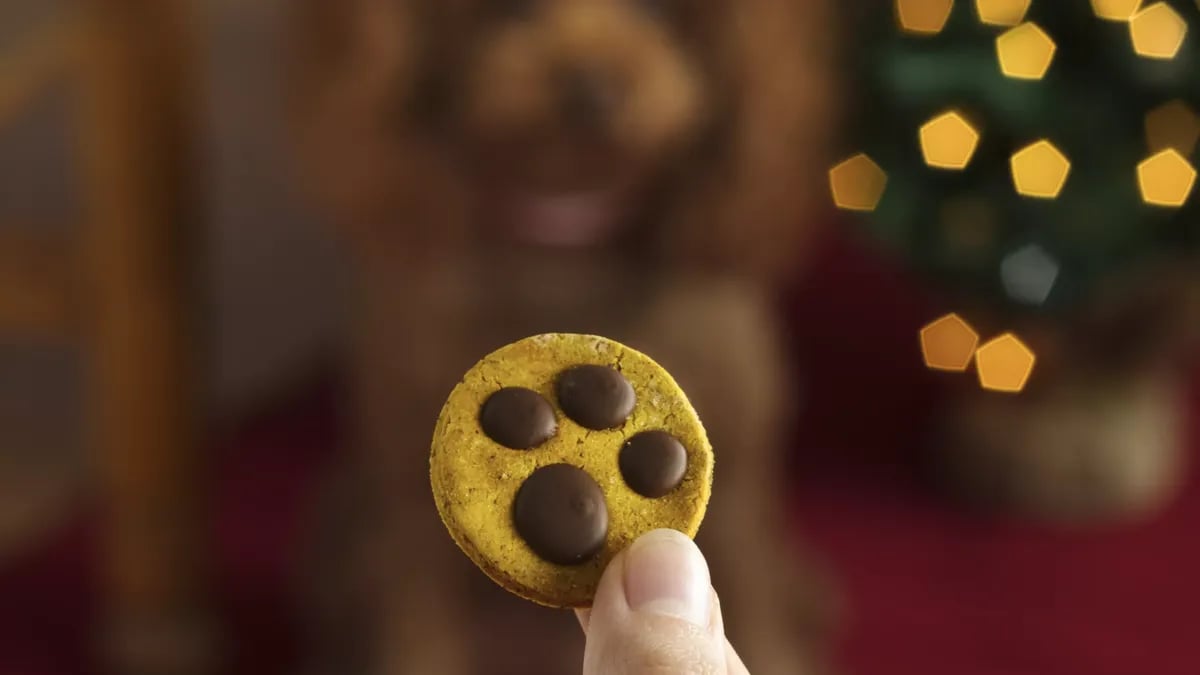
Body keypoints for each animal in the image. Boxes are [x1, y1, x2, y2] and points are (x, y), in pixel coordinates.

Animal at [286, 2, 840, 667]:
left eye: (663, 12)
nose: (590, 92)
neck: (565, 245)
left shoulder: (739, 489)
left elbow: (760, 612)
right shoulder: (403, 505)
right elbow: (418, 631)